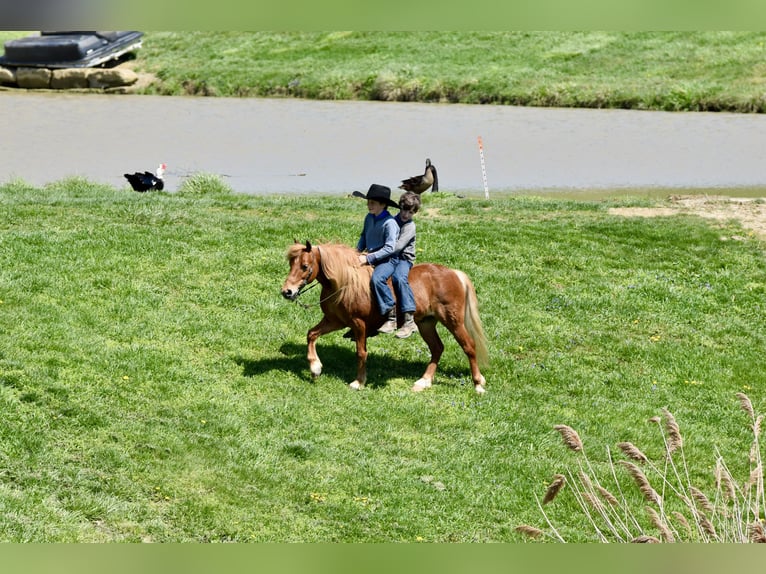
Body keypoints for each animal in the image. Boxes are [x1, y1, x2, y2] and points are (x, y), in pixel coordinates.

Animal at [281, 241, 489, 393]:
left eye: (304, 266)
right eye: (291, 264)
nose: (287, 292)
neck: (344, 283)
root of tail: (454, 273)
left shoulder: (358, 324)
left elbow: (361, 352)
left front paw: (359, 382)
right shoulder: (335, 321)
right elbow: (311, 334)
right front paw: (315, 368)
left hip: (453, 321)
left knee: (469, 346)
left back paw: (478, 384)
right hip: (426, 323)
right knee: (437, 348)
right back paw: (424, 381)